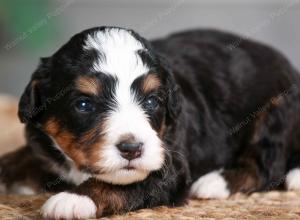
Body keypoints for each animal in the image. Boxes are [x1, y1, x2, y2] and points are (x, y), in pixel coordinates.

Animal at [0, 26, 300, 219]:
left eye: (153, 101)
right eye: (83, 104)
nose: (132, 149)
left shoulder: (170, 166)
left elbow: (125, 183)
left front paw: (75, 199)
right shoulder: (40, 144)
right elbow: (20, 156)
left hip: (275, 110)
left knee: (266, 166)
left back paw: (214, 183)